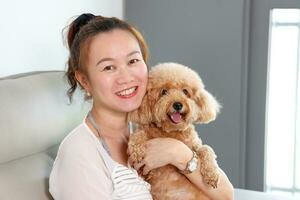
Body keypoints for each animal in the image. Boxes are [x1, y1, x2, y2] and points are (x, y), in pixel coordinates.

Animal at [128, 63, 220, 200]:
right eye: (164, 92)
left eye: (185, 91)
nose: (177, 105)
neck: (171, 132)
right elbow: (139, 134)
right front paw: (137, 150)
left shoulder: (194, 145)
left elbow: (206, 149)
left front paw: (212, 173)